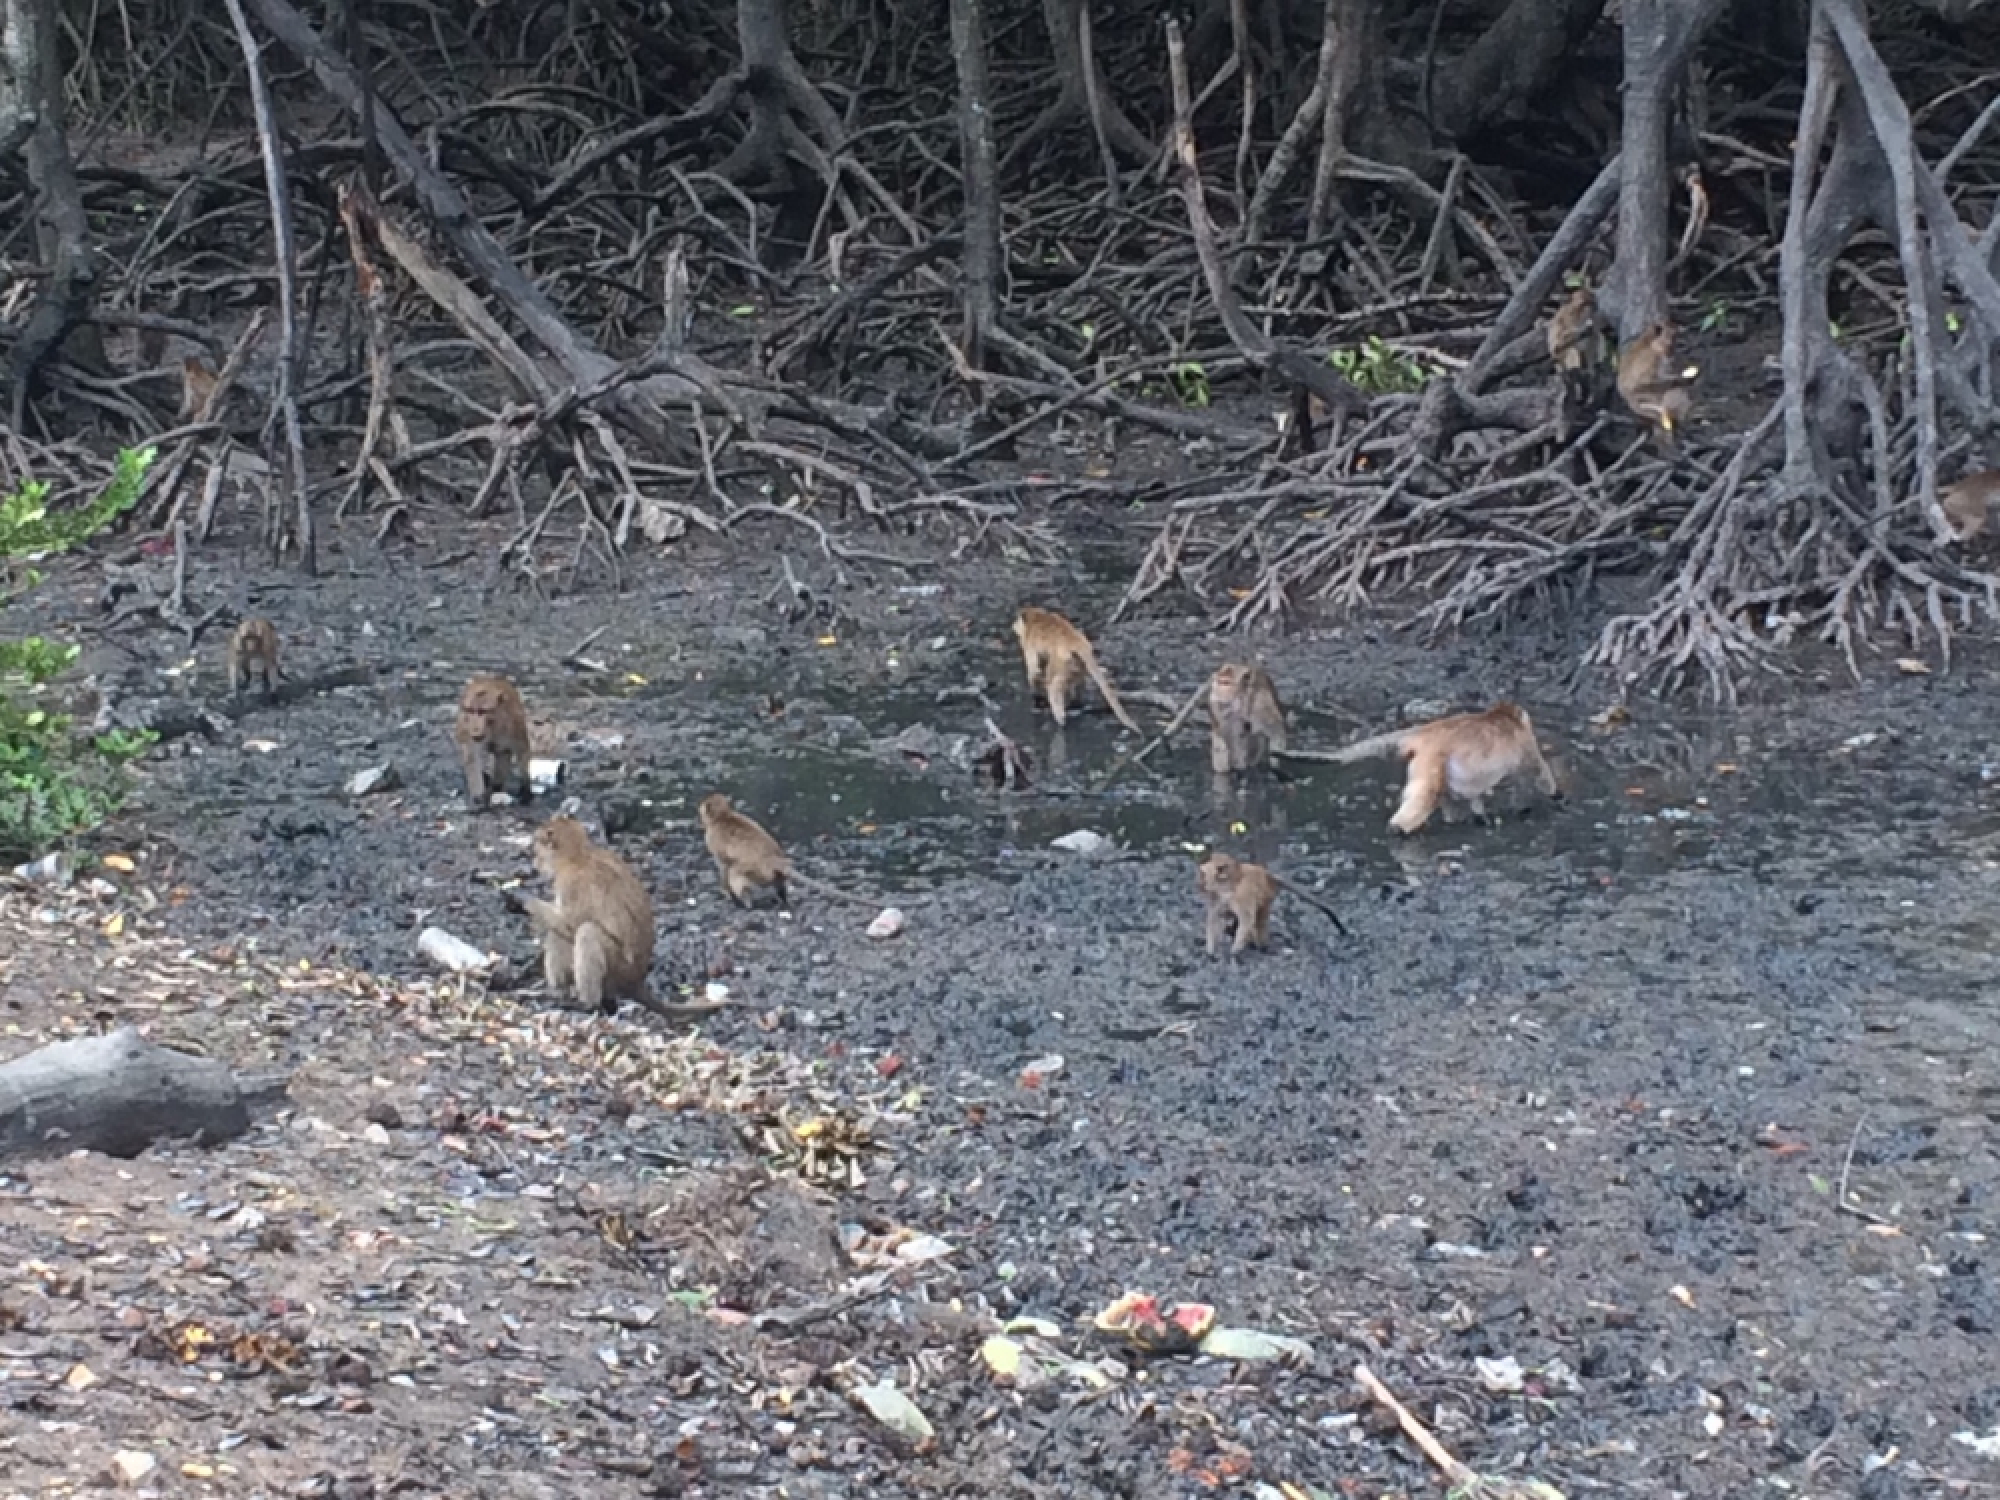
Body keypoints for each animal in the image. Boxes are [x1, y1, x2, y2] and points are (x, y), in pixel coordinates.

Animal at [454, 674, 532, 810]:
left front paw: (526, 788)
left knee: (502, 753)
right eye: (470, 710)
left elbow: (520, 752)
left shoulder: (513, 727)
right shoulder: (467, 728)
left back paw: (496, 787)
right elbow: (471, 756)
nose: (475, 728)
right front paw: (478, 797)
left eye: (482, 711)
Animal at [512, 816, 723, 1020]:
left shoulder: (571, 885)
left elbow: (570, 924)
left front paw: (522, 901)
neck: (578, 856)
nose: (535, 863)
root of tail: (636, 980)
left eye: (537, 851)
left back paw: (587, 1004)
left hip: (618, 969)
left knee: (586, 931)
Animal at [697, 793, 886, 909]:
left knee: (735, 873)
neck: (722, 816)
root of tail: (775, 860)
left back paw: (746, 903)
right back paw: (783, 899)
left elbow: (724, 868)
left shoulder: (712, 841)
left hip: (754, 870)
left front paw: (726, 893)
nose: (698, 810)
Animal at [1011, 607, 1144, 733]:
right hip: (1078, 665)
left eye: (1017, 620)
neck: (1036, 617)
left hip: (1064, 662)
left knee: (1054, 683)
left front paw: (1035, 692)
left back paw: (1060, 715)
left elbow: (1034, 669)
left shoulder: (1028, 643)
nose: (1014, 625)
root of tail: (1077, 643)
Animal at [1320, 702, 1560, 835]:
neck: (1502, 715)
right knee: (1426, 794)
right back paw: (1399, 828)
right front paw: (1555, 796)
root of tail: (1423, 734)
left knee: (1441, 792)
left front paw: (1480, 812)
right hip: (1430, 762)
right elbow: (1537, 771)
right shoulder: (1523, 742)